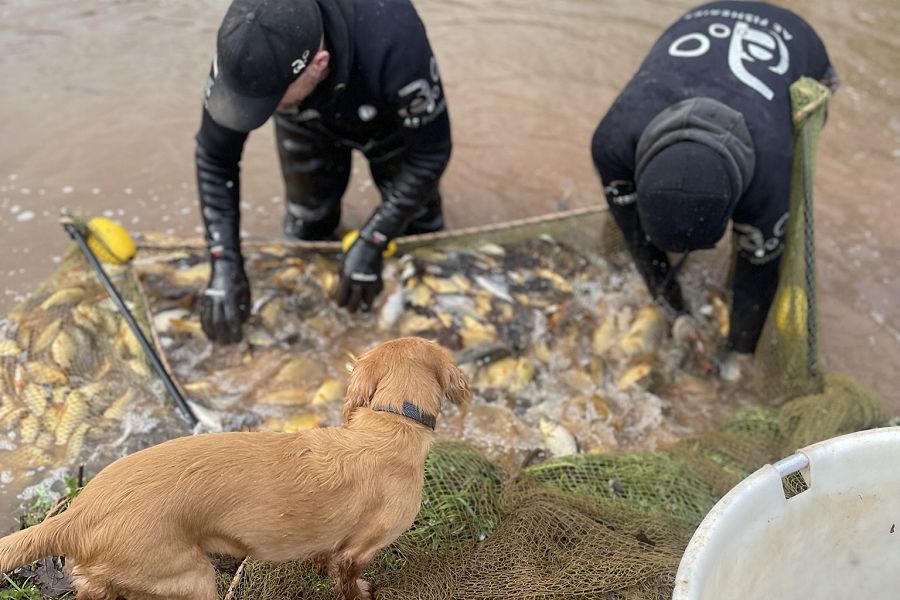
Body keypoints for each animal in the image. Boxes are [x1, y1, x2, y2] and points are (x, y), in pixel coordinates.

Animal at [0, 336, 468, 596]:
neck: (391, 422)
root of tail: (77, 514)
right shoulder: (360, 549)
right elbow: (350, 582)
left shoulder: (330, 543)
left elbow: (323, 558)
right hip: (191, 578)